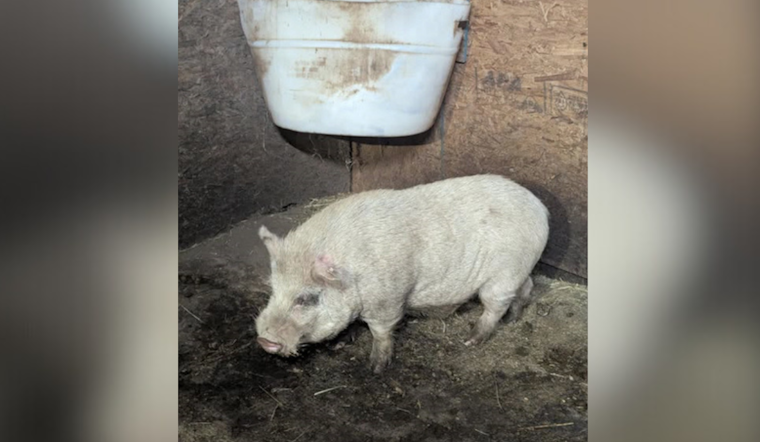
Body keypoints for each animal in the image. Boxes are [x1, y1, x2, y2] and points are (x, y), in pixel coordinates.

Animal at [255, 174, 549, 373]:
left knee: (494, 306)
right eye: (274, 290)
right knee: (526, 287)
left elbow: (381, 331)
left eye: (307, 298)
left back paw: (471, 340)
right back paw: (513, 319)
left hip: (503, 273)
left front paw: (375, 368)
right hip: (520, 270)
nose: (263, 340)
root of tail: (541, 209)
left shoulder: (387, 299)